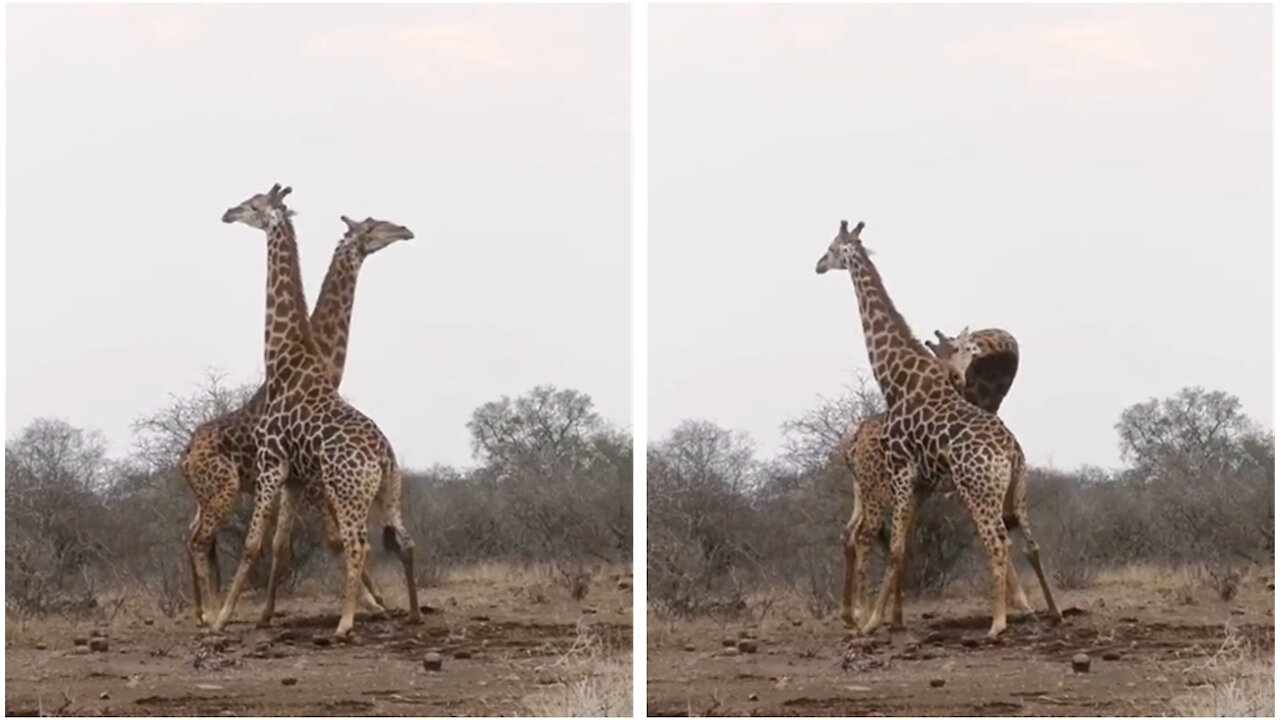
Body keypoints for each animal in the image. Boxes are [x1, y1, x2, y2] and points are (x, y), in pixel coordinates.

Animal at [183, 212, 412, 622]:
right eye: (373, 226)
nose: (405, 230)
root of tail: (185, 452)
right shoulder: (312, 480)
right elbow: (332, 540)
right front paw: (374, 602)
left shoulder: (299, 479)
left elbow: (283, 542)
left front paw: (268, 611)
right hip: (223, 490)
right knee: (199, 540)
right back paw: (210, 612)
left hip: (204, 496)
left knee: (189, 535)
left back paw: (201, 611)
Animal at [834, 325, 1024, 627]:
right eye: (963, 348)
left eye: (970, 351)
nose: (959, 377)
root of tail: (852, 445)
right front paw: (1021, 603)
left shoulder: (922, 490)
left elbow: (902, 541)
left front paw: (896, 616)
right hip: (876, 491)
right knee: (864, 535)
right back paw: (861, 612)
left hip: (861, 492)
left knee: (849, 532)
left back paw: (850, 613)